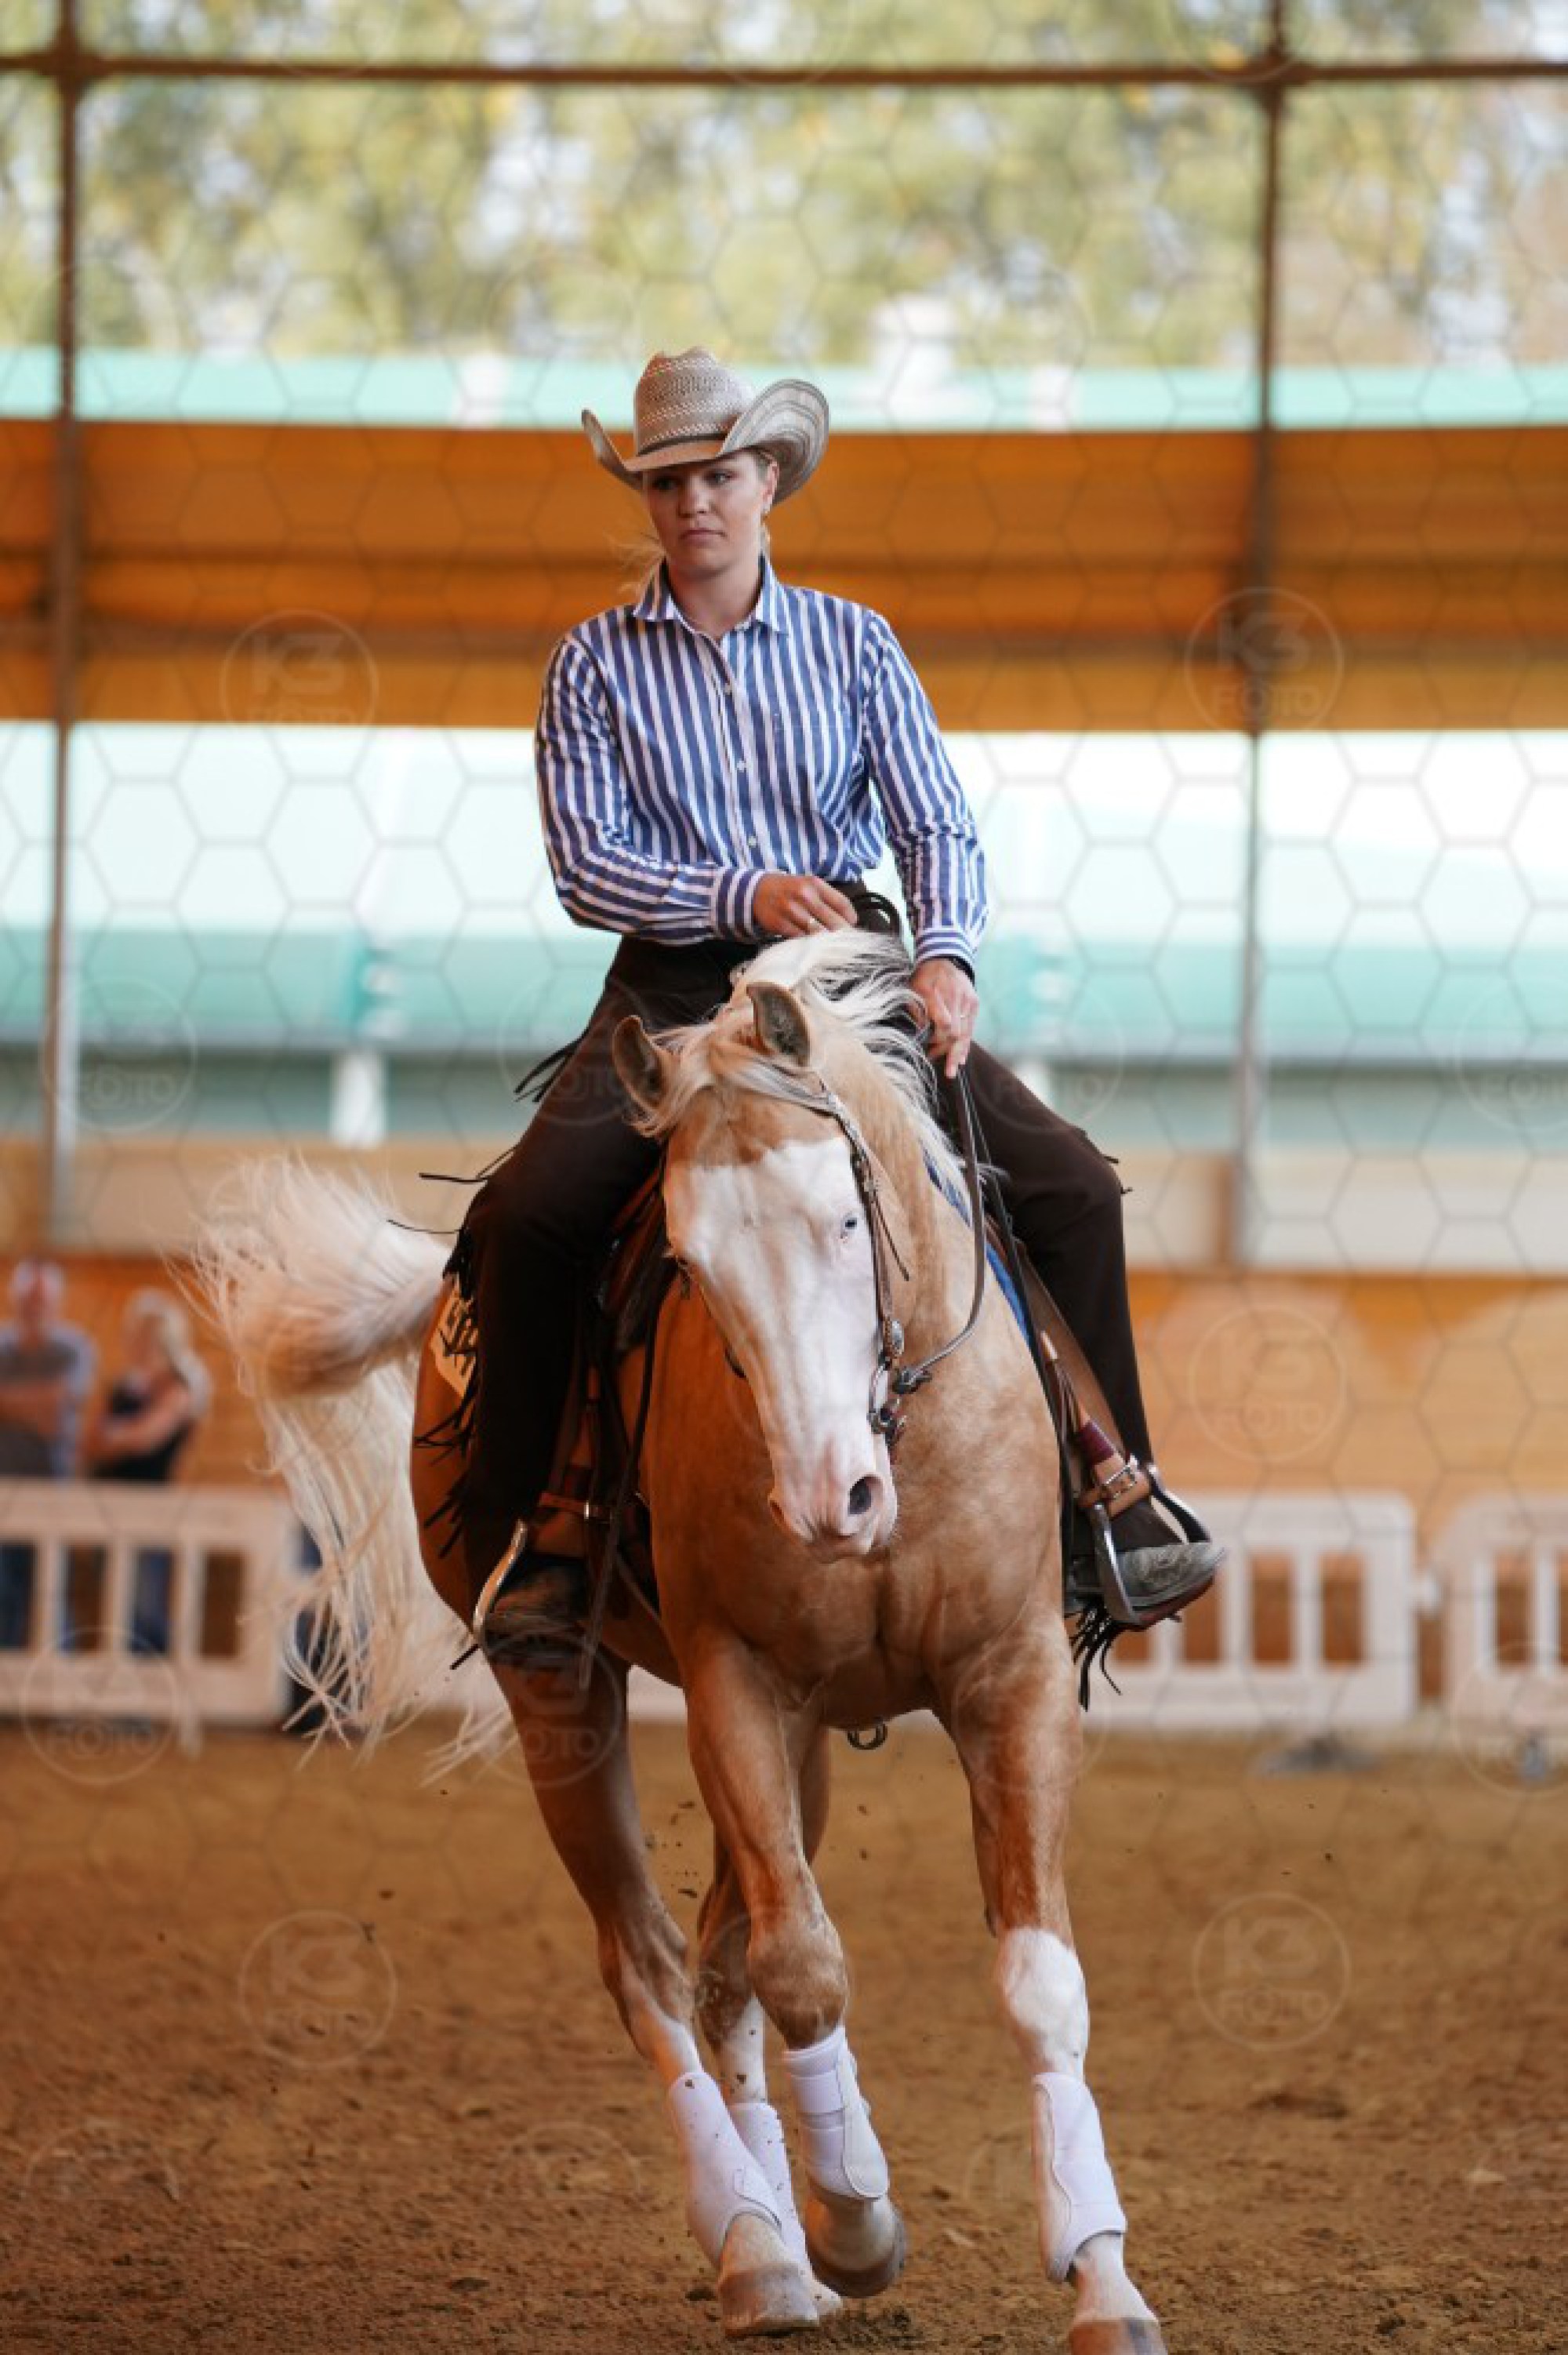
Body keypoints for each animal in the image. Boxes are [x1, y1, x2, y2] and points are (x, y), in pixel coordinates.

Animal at [198, 929, 1167, 2353]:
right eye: (690, 1267)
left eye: (844, 1216)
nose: (831, 1499)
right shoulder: (734, 1686)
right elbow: (804, 1965)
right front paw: (856, 2219)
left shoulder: (1013, 1677)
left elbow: (1036, 1978)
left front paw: (1103, 2276)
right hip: (566, 1697)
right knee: (654, 1966)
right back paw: (761, 2237)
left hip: (807, 1742)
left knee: (716, 1971)